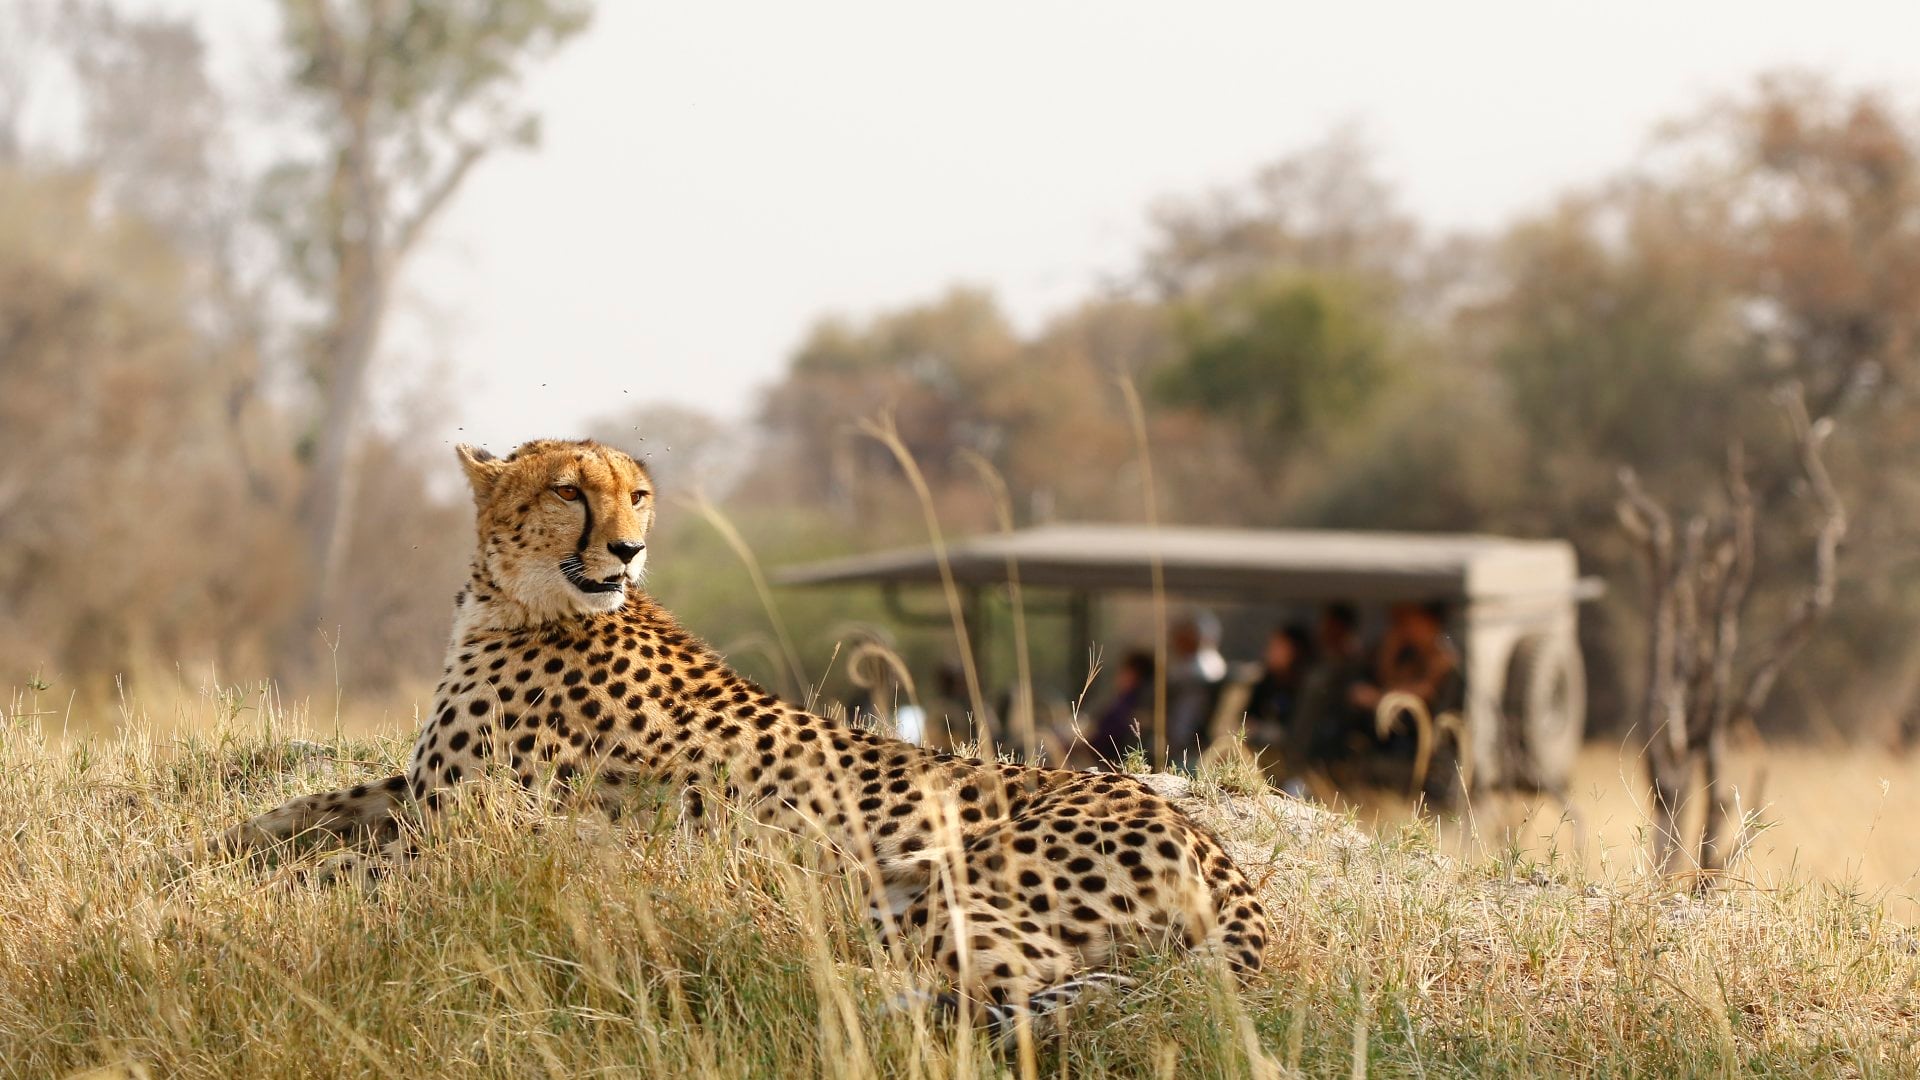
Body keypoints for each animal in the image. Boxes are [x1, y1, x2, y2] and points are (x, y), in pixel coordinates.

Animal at [203, 438, 1270, 1033]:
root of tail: (1208, 839)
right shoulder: (424, 788)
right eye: (569, 491)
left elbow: (341, 868)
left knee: (1038, 982)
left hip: (925, 882)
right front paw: (219, 849)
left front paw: (238, 891)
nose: (629, 547)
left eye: (636, 495)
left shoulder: (469, 822)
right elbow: (307, 808)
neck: (520, 599)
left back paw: (811, 983)